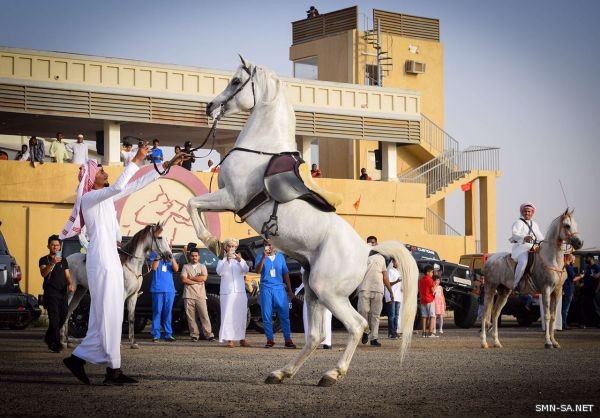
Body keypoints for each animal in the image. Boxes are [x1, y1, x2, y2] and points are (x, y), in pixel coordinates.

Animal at [62, 222, 170, 350]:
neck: (131, 265)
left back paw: (67, 341)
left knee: (68, 312)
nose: (169, 256)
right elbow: (120, 317)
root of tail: (65, 260)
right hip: (70, 291)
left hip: (79, 291)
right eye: (159, 237)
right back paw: (61, 341)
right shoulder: (122, 295)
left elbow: (131, 318)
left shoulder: (133, 296)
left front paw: (133, 343)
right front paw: (118, 344)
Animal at [188, 56, 418, 386]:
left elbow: (192, 203)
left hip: (327, 289)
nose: (211, 106)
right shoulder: (227, 199)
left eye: (235, 81)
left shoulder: (231, 197)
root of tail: (367, 251)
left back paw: (332, 373)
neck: (260, 150)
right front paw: (217, 243)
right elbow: (194, 205)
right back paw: (281, 373)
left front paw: (214, 242)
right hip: (312, 291)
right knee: (316, 335)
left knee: (356, 325)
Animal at [482, 209, 580, 350]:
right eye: (567, 225)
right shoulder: (546, 290)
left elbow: (554, 316)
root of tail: (490, 260)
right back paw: (484, 343)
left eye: (575, 224)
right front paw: (548, 342)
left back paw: (496, 342)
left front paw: (554, 342)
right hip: (490, 290)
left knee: (495, 314)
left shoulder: (557, 291)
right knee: (485, 315)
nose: (579, 243)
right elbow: (547, 316)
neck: (552, 259)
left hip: (503, 293)